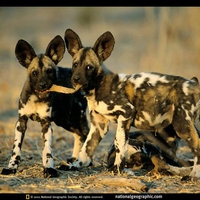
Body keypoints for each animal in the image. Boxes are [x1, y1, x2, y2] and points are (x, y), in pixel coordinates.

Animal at [0, 35, 88, 177]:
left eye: (50, 71)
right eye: (34, 73)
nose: (43, 85)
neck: (37, 98)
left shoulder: (46, 123)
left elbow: (47, 150)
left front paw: (49, 168)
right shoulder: (21, 122)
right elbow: (16, 149)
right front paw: (11, 167)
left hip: (70, 118)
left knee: (85, 134)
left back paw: (80, 163)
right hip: (65, 121)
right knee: (79, 135)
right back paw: (74, 160)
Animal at [60, 28, 200, 180]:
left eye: (89, 67)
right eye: (75, 65)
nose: (75, 79)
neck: (97, 86)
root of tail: (194, 84)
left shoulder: (126, 112)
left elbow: (120, 144)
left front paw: (117, 169)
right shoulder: (98, 126)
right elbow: (85, 151)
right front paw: (74, 165)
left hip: (181, 125)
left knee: (195, 150)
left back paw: (193, 176)